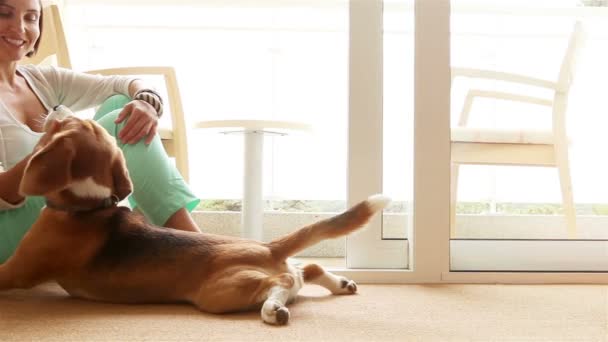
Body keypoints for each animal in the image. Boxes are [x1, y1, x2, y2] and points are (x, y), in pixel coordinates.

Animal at [0, 110, 390, 326]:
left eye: (65, 122)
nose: (54, 109)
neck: (88, 207)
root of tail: (269, 248)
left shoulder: (15, 270)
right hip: (266, 274)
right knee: (306, 269)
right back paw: (340, 283)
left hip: (220, 293)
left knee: (280, 282)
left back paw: (272, 309)